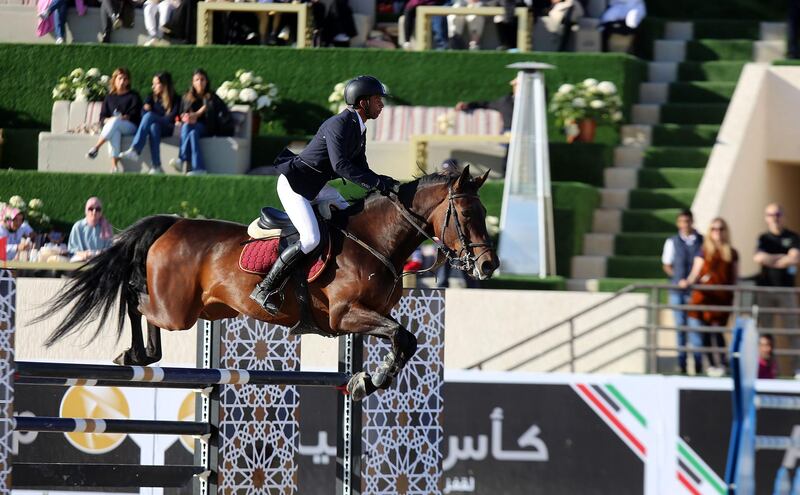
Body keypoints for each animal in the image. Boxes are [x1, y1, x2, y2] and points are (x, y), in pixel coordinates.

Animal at [40, 167, 500, 404]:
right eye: (466, 215)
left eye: (483, 214)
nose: (489, 266)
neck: (375, 238)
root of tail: (173, 223)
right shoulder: (346, 316)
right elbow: (403, 337)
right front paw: (368, 381)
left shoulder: (371, 315)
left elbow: (406, 339)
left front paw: (366, 379)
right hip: (176, 310)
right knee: (136, 300)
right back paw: (135, 353)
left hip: (202, 308)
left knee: (146, 309)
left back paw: (143, 355)